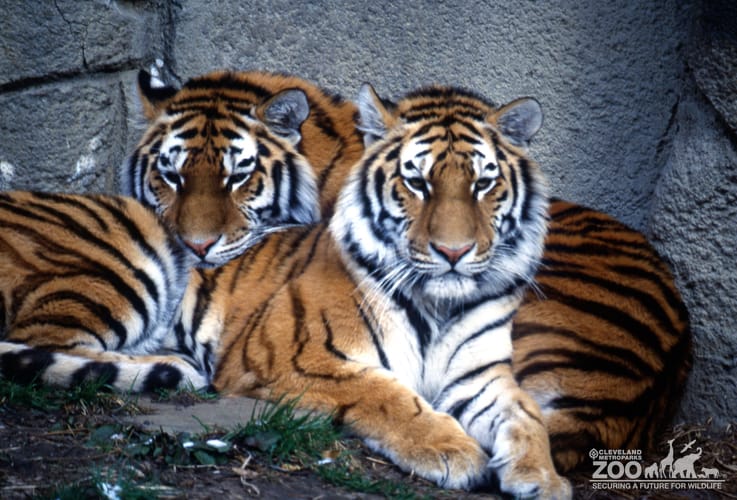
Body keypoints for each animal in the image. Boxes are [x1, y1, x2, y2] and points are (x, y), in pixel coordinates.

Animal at [179, 83, 572, 497]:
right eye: (417, 183)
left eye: (482, 184)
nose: (453, 251)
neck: (439, 306)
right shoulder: (287, 356)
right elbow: (386, 394)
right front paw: (451, 450)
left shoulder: (479, 378)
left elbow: (528, 415)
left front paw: (544, 477)